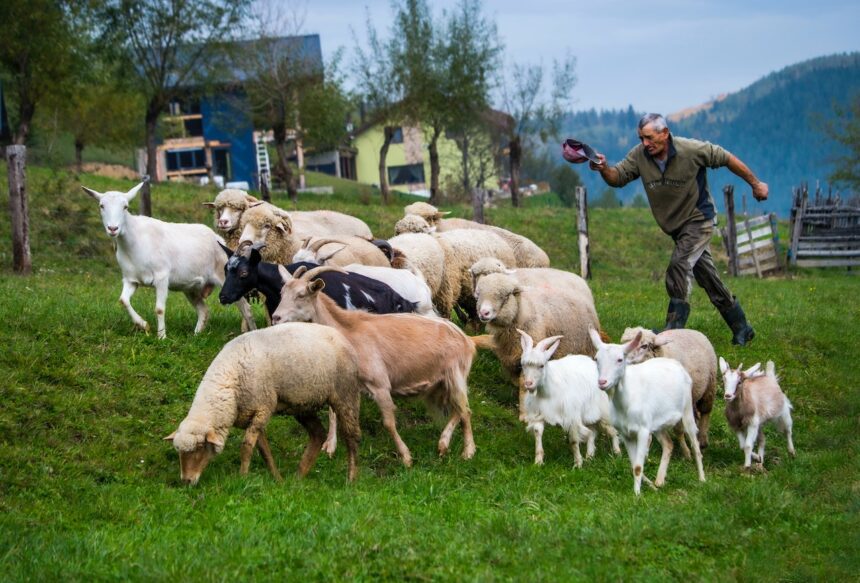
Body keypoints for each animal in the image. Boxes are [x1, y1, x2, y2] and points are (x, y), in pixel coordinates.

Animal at [82, 181, 254, 338]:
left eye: (125, 207)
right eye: (101, 206)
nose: (113, 229)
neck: (135, 241)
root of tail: (219, 239)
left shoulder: (161, 276)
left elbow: (159, 309)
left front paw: (161, 337)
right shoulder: (131, 279)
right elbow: (123, 300)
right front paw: (143, 325)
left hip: (227, 279)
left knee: (245, 308)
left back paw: (251, 331)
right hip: (190, 287)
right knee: (204, 310)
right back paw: (196, 335)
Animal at [166, 324, 364, 484]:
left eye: (200, 447)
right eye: (179, 452)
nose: (186, 481)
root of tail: (341, 336)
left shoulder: (263, 408)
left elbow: (246, 447)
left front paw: (242, 477)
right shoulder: (252, 415)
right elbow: (263, 450)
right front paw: (277, 479)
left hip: (345, 394)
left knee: (352, 437)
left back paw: (351, 480)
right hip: (303, 405)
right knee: (318, 434)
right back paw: (298, 476)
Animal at [516, 330, 620, 468]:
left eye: (542, 365)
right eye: (523, 364)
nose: (528, 384)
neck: (548, 392)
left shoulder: (572, 417)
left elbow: (574, 441)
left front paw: (577, 464)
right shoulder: (538, 414)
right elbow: (538, 433)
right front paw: (538, 462)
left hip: (603, 412)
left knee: (612, 430)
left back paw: (617, 453)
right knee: (592, 432)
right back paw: (590, 456)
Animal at [592, 330, 704, 496]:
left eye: (620, 359)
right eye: (596, 359)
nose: (602, 382)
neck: (626, 404)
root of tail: (675, 363)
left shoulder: (643, 430)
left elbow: (638, 466)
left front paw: (637, 495)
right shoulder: (626, 433)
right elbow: (634, 465)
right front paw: (649, 486)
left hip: (687, 409)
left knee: (695, 443)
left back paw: (702, 479)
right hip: (658, 424)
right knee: (668, 444)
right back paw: (659, 481)